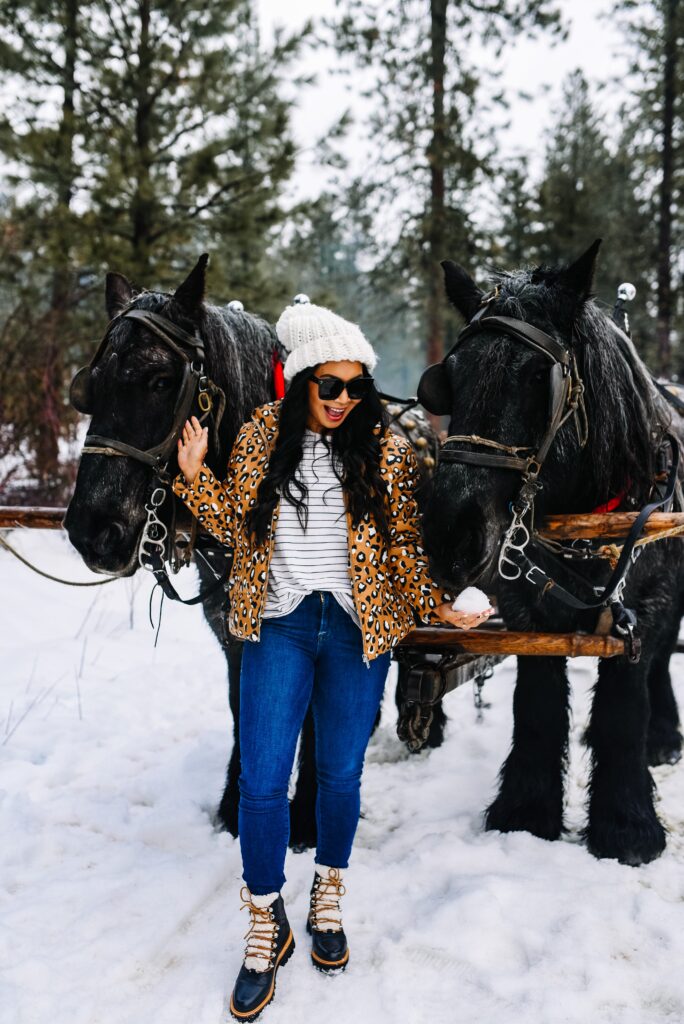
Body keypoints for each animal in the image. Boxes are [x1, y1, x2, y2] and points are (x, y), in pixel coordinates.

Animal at [419, 239, 679, 864]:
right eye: (449, 378)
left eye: (541, 374)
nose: (450, 534)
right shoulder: (524, 610)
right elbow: (535, 707)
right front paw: (526, 813)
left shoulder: (644, 607)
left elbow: (624, 706)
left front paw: (627, 826)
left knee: (662, 659)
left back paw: (664, 738)